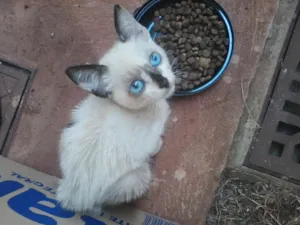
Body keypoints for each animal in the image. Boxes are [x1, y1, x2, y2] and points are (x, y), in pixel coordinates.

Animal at [55, 4, 176, 214]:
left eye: (155, 59)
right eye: (136, 86)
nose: (163, 82)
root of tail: (74, 196)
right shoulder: (145, 143)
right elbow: (154, 145)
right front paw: (159, 145)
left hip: (71, 124)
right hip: (136, 178)